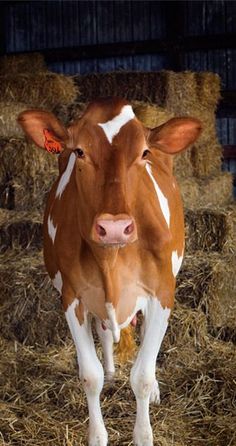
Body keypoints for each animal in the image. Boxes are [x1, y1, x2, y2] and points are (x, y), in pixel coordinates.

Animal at [18, 98, 202, 446]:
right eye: (79, 151)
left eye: (144, 153)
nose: (114, 227)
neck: (111, 262)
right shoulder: (72, 297)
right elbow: (90, 376)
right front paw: (97, 435)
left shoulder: (162, 293)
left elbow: (142, 376)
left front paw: (144, 433)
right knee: (104, 333)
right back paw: (113, 371)